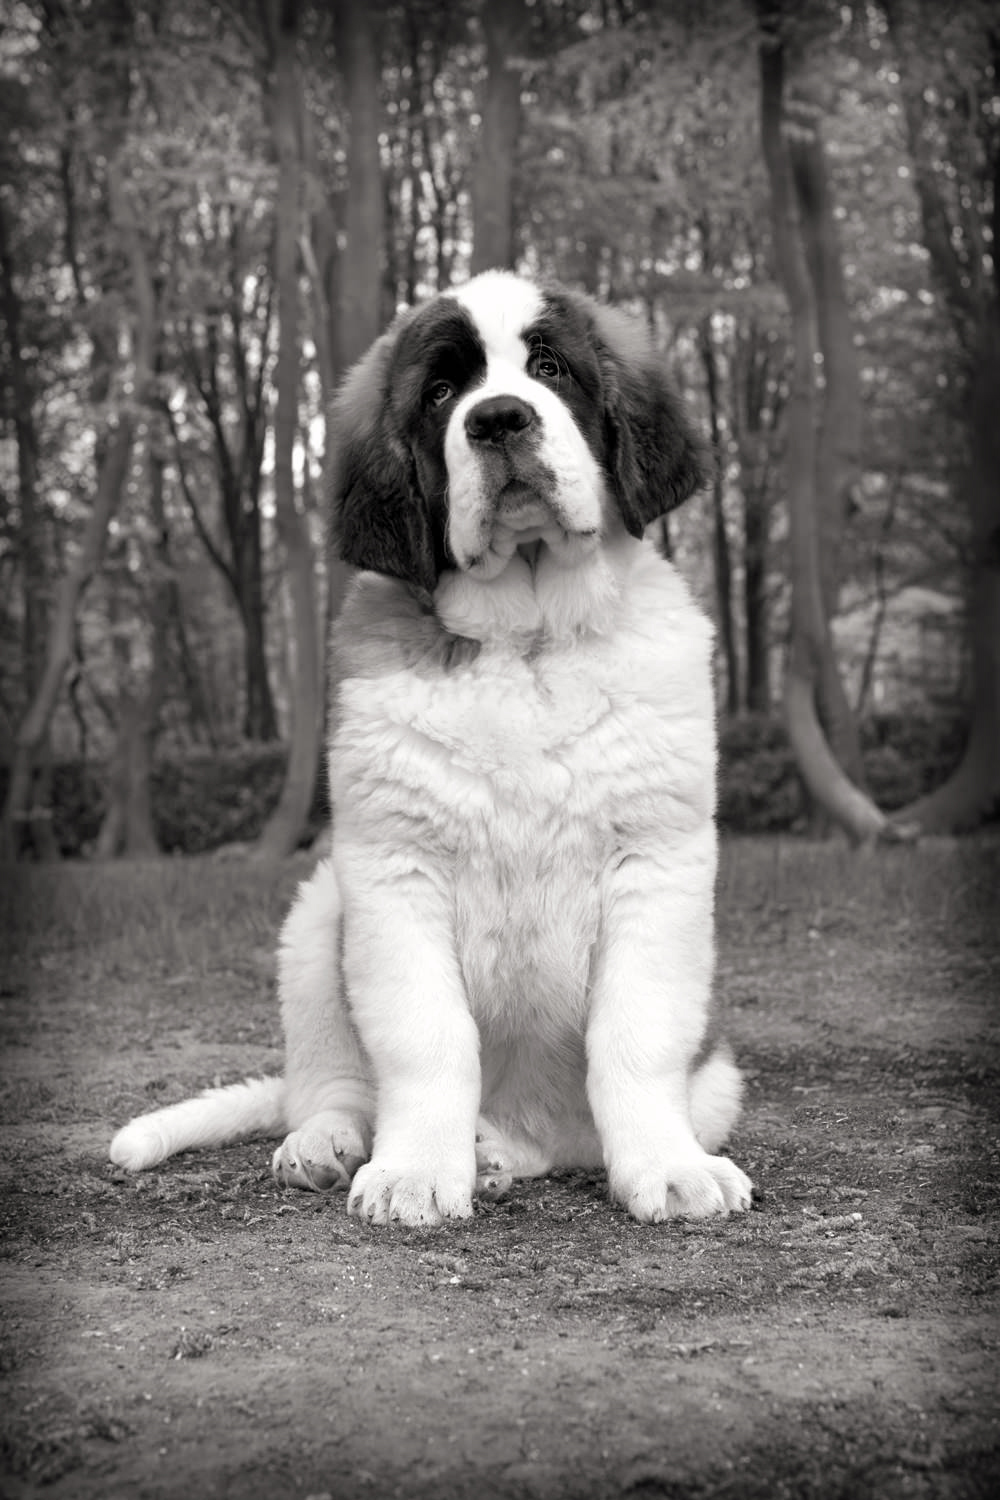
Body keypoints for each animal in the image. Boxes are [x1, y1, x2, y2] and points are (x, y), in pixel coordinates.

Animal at [111, 270, 749, 1230]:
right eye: (443, 393)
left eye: (550, 368)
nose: (499, 420)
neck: (527, 642)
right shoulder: (392, 871)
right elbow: (427, 1034)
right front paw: (413, 1170)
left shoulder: (655, 860)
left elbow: (635, 1031)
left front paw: (669, 1167)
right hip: (315, 921)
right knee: (330, 1083)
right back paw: (331, 1142)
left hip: (715, 1083)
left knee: (567, 1137)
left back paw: (500, 1153)